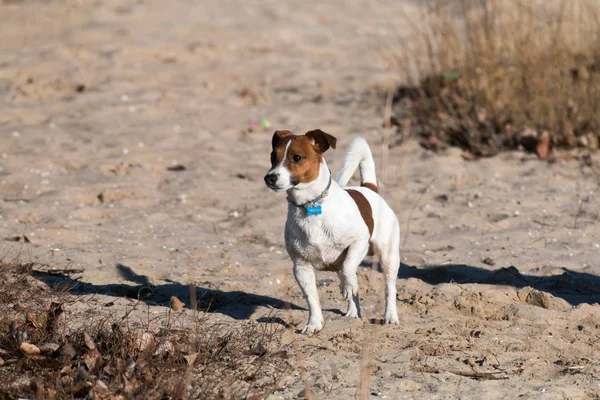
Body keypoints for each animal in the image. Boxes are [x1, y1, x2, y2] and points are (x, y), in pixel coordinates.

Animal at [264, 130, 398, 332]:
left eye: (297, 157)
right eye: (273, 156)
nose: (270, 177)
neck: (311, 205)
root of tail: (370, 189)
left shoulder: (359, 241)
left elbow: (348, 267)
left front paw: (347, 286)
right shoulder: (301, 266)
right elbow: (312, 298)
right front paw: (314, 324)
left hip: (388, 256)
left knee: (389, 287)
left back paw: (390, 316)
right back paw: (353, 314)